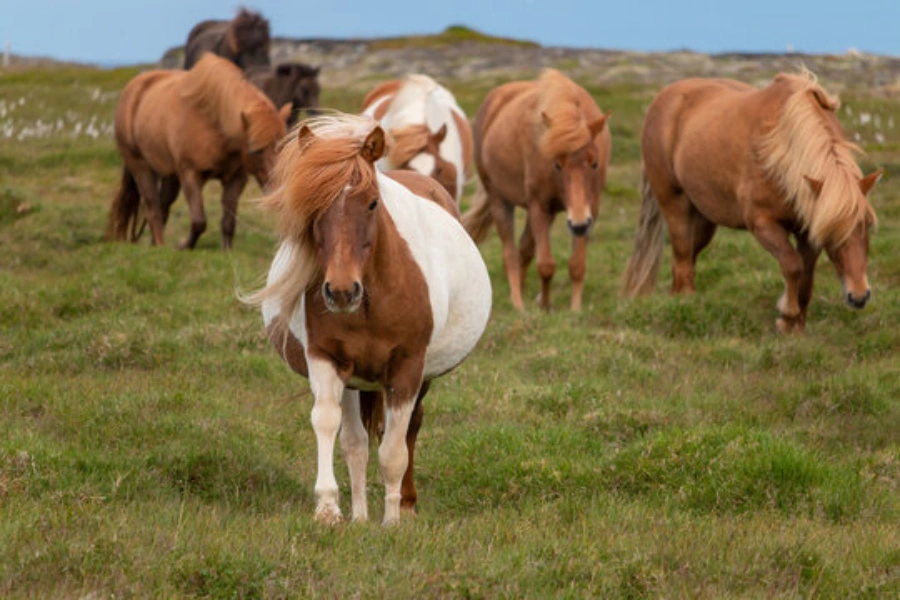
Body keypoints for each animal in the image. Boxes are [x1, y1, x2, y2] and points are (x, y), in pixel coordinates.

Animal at [106, 52, 290, 248]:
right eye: (256, 151)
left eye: (284, 146)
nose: (278, 195)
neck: (214, 123)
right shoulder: (190, 174)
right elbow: (199, 221)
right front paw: (184, 246)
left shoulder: (236, 178)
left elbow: (228, 222)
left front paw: (226, 251)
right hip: (140, 166)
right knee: (152, 206)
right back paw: (161, 244)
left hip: (170, 175)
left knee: (163, 206)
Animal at [248, 113, 492, 524]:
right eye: (313, 207)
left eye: (373, 203)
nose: (341, 291)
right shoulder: (327, 359)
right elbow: (330, 425)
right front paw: (329, 509)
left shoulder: (408, 368)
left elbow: (393, 449)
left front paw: (392, 521)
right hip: (354, 379)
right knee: (356, 441)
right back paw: (360, 515)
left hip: (419, 378)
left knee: (410, 429)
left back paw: (405, 504)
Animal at [464, 69, 612, 312]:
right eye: (557, 165)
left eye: (594, 163)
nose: (578, 224)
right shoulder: (539, 207)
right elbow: (546, 265)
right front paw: (545, 305)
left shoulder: (591, 210)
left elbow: (577, 265)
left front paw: (575, 309)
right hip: (500, 200)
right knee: (510, 254)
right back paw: (517, 302)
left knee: (524, 251)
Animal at [620, 73, 880, 336]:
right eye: (832, 232)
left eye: (868, 225)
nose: (859, 296)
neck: (782, 149)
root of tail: (663, 98)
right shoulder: (763, 224)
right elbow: (792, 265)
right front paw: (787, 316)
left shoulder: (808, 230)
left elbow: (806, 276)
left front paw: (796, 324)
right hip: (675, 206)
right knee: (682, 259)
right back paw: (684, 304)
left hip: (704, 219)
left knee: (687, 258)